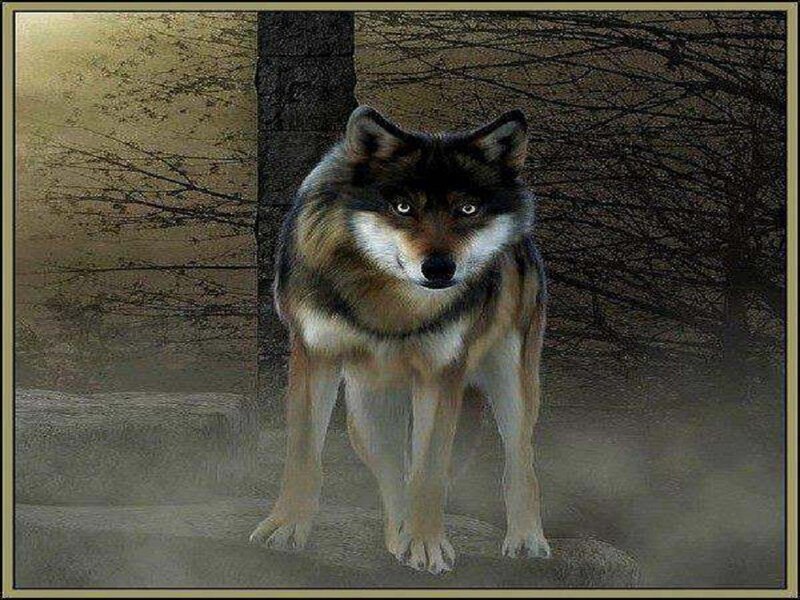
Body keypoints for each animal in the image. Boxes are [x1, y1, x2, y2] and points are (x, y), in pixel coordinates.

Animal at [249, 106, 551, 574]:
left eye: (467, 208)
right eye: (403, 207)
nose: (440, 268)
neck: (389, 303)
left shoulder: (443, 374)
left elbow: (429, 472)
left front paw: (427, 545)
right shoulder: (313, 356)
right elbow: (303, 455)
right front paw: (286, 528)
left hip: (511, 383)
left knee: (520, 462)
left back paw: (526, 540)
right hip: (367, 418)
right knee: (394, 473)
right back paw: (397, 539)